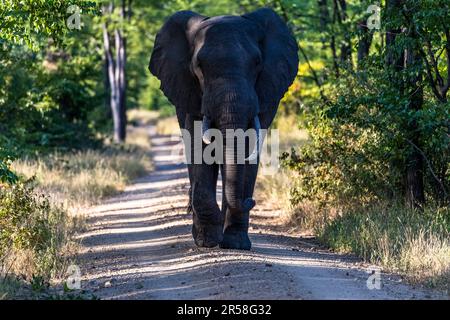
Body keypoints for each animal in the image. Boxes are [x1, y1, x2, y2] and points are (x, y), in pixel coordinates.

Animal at [149, 8, 300, 250]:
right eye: (199, 66)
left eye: (257, 63)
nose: (251, 200)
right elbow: (198, 146)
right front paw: (208, 241)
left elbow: (248, 147)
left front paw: (235, 244)